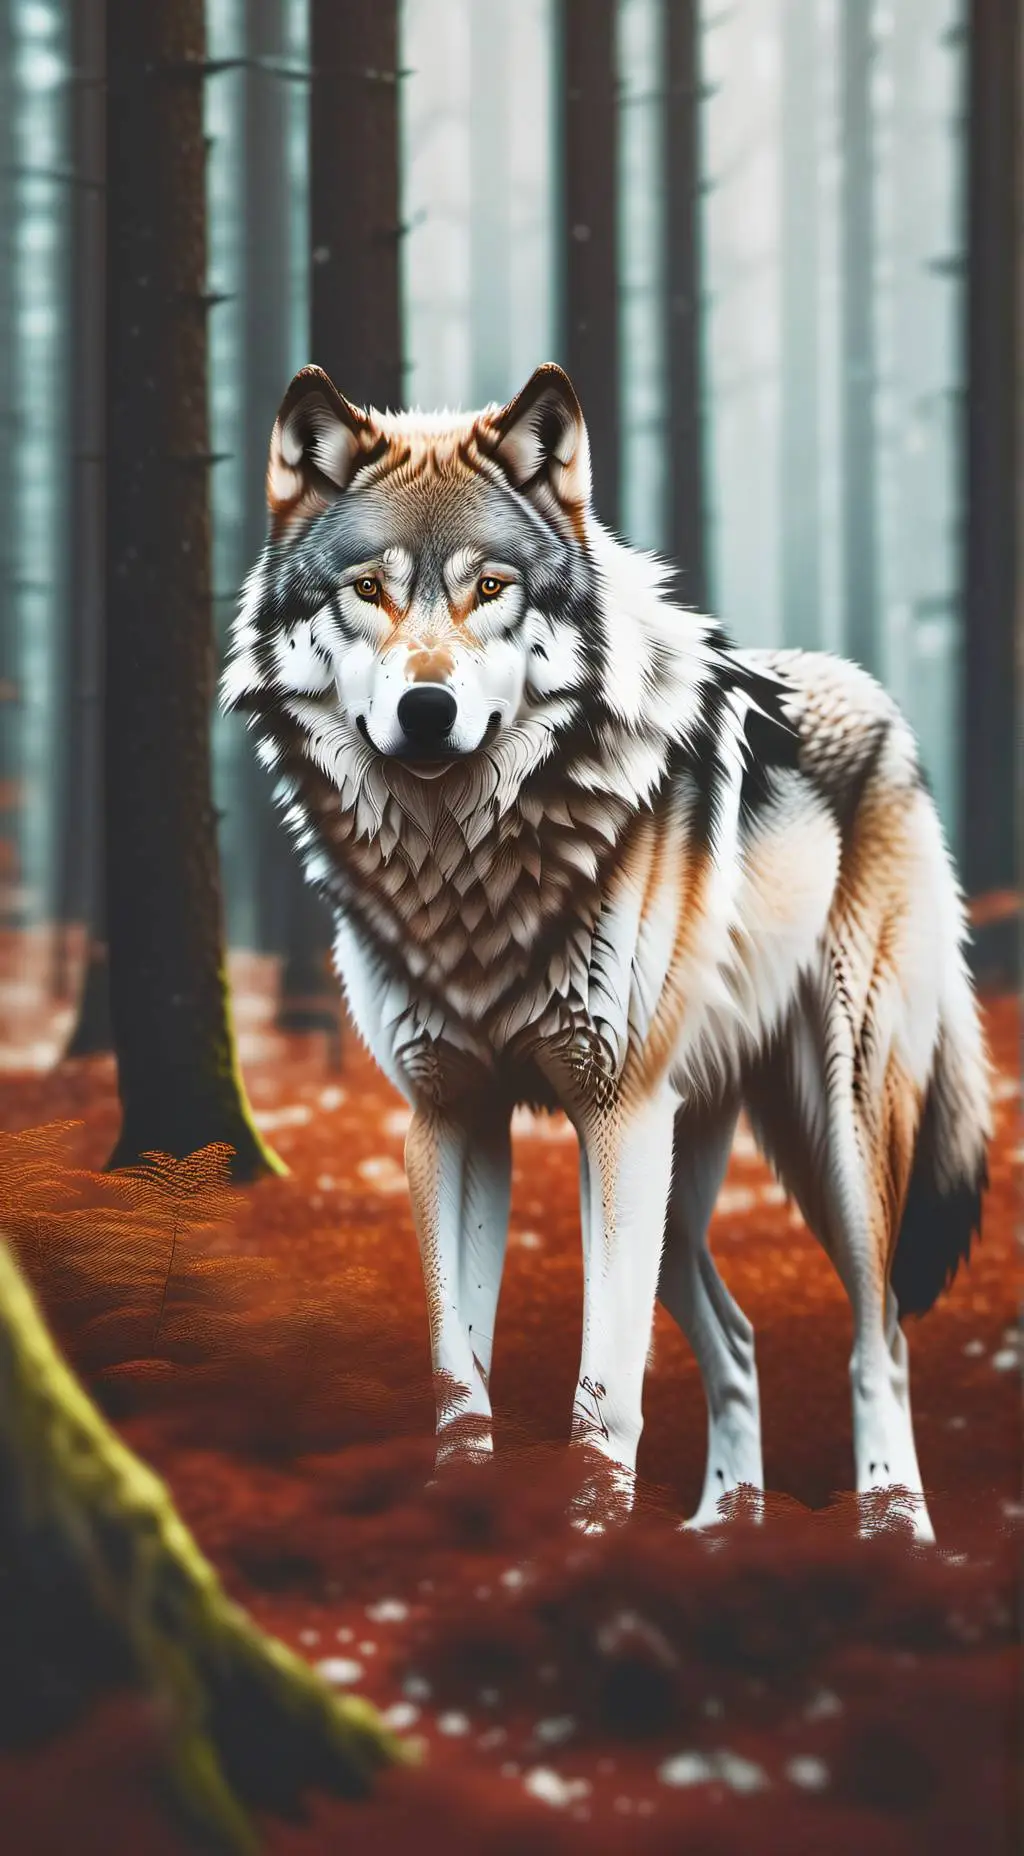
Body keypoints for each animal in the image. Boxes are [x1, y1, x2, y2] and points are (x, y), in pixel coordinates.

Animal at [222, 362, 990, 1542]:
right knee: (739, 1338)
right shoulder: (451, 1116)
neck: (465, 868)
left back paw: (893, 1530)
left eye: (492, 587)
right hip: (685, 1160)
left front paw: (583, 1542)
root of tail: (881, 704)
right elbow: (457, 1368)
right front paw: (466, 1524)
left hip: (832, 1133)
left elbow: (604, 1387)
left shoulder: (614, 1112)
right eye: (369, 589)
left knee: (884, 1334)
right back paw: (722, 1532)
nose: (428, 710)